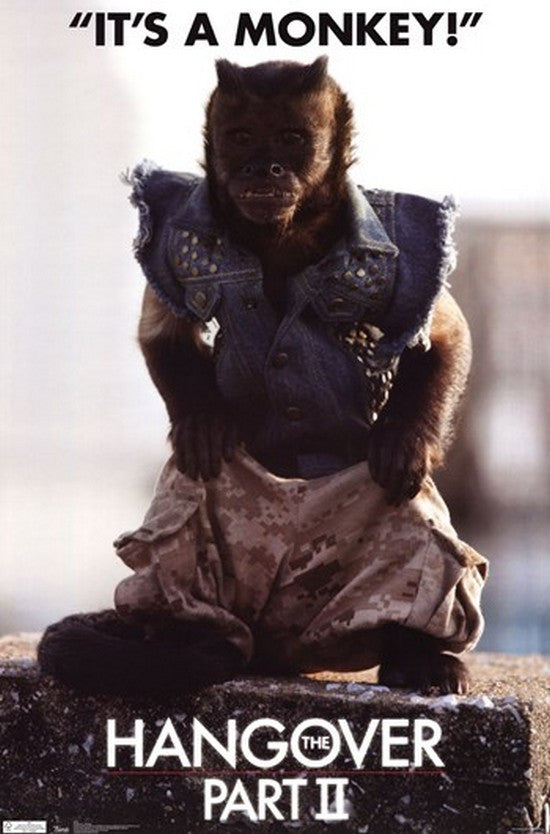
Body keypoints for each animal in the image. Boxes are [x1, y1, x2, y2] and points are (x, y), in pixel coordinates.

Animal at [38, 57, 487, 696]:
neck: (283, 232)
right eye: (243, 137)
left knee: (415, 521)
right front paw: (203, 420)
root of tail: (277, 651)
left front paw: (405, 439)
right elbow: (165, 334)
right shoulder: (179, 226)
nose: (264, 166)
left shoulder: (404, 245)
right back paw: (192, 644)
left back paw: (418, 653)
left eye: (292, 139)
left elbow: (443, 335)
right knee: (193, 489)